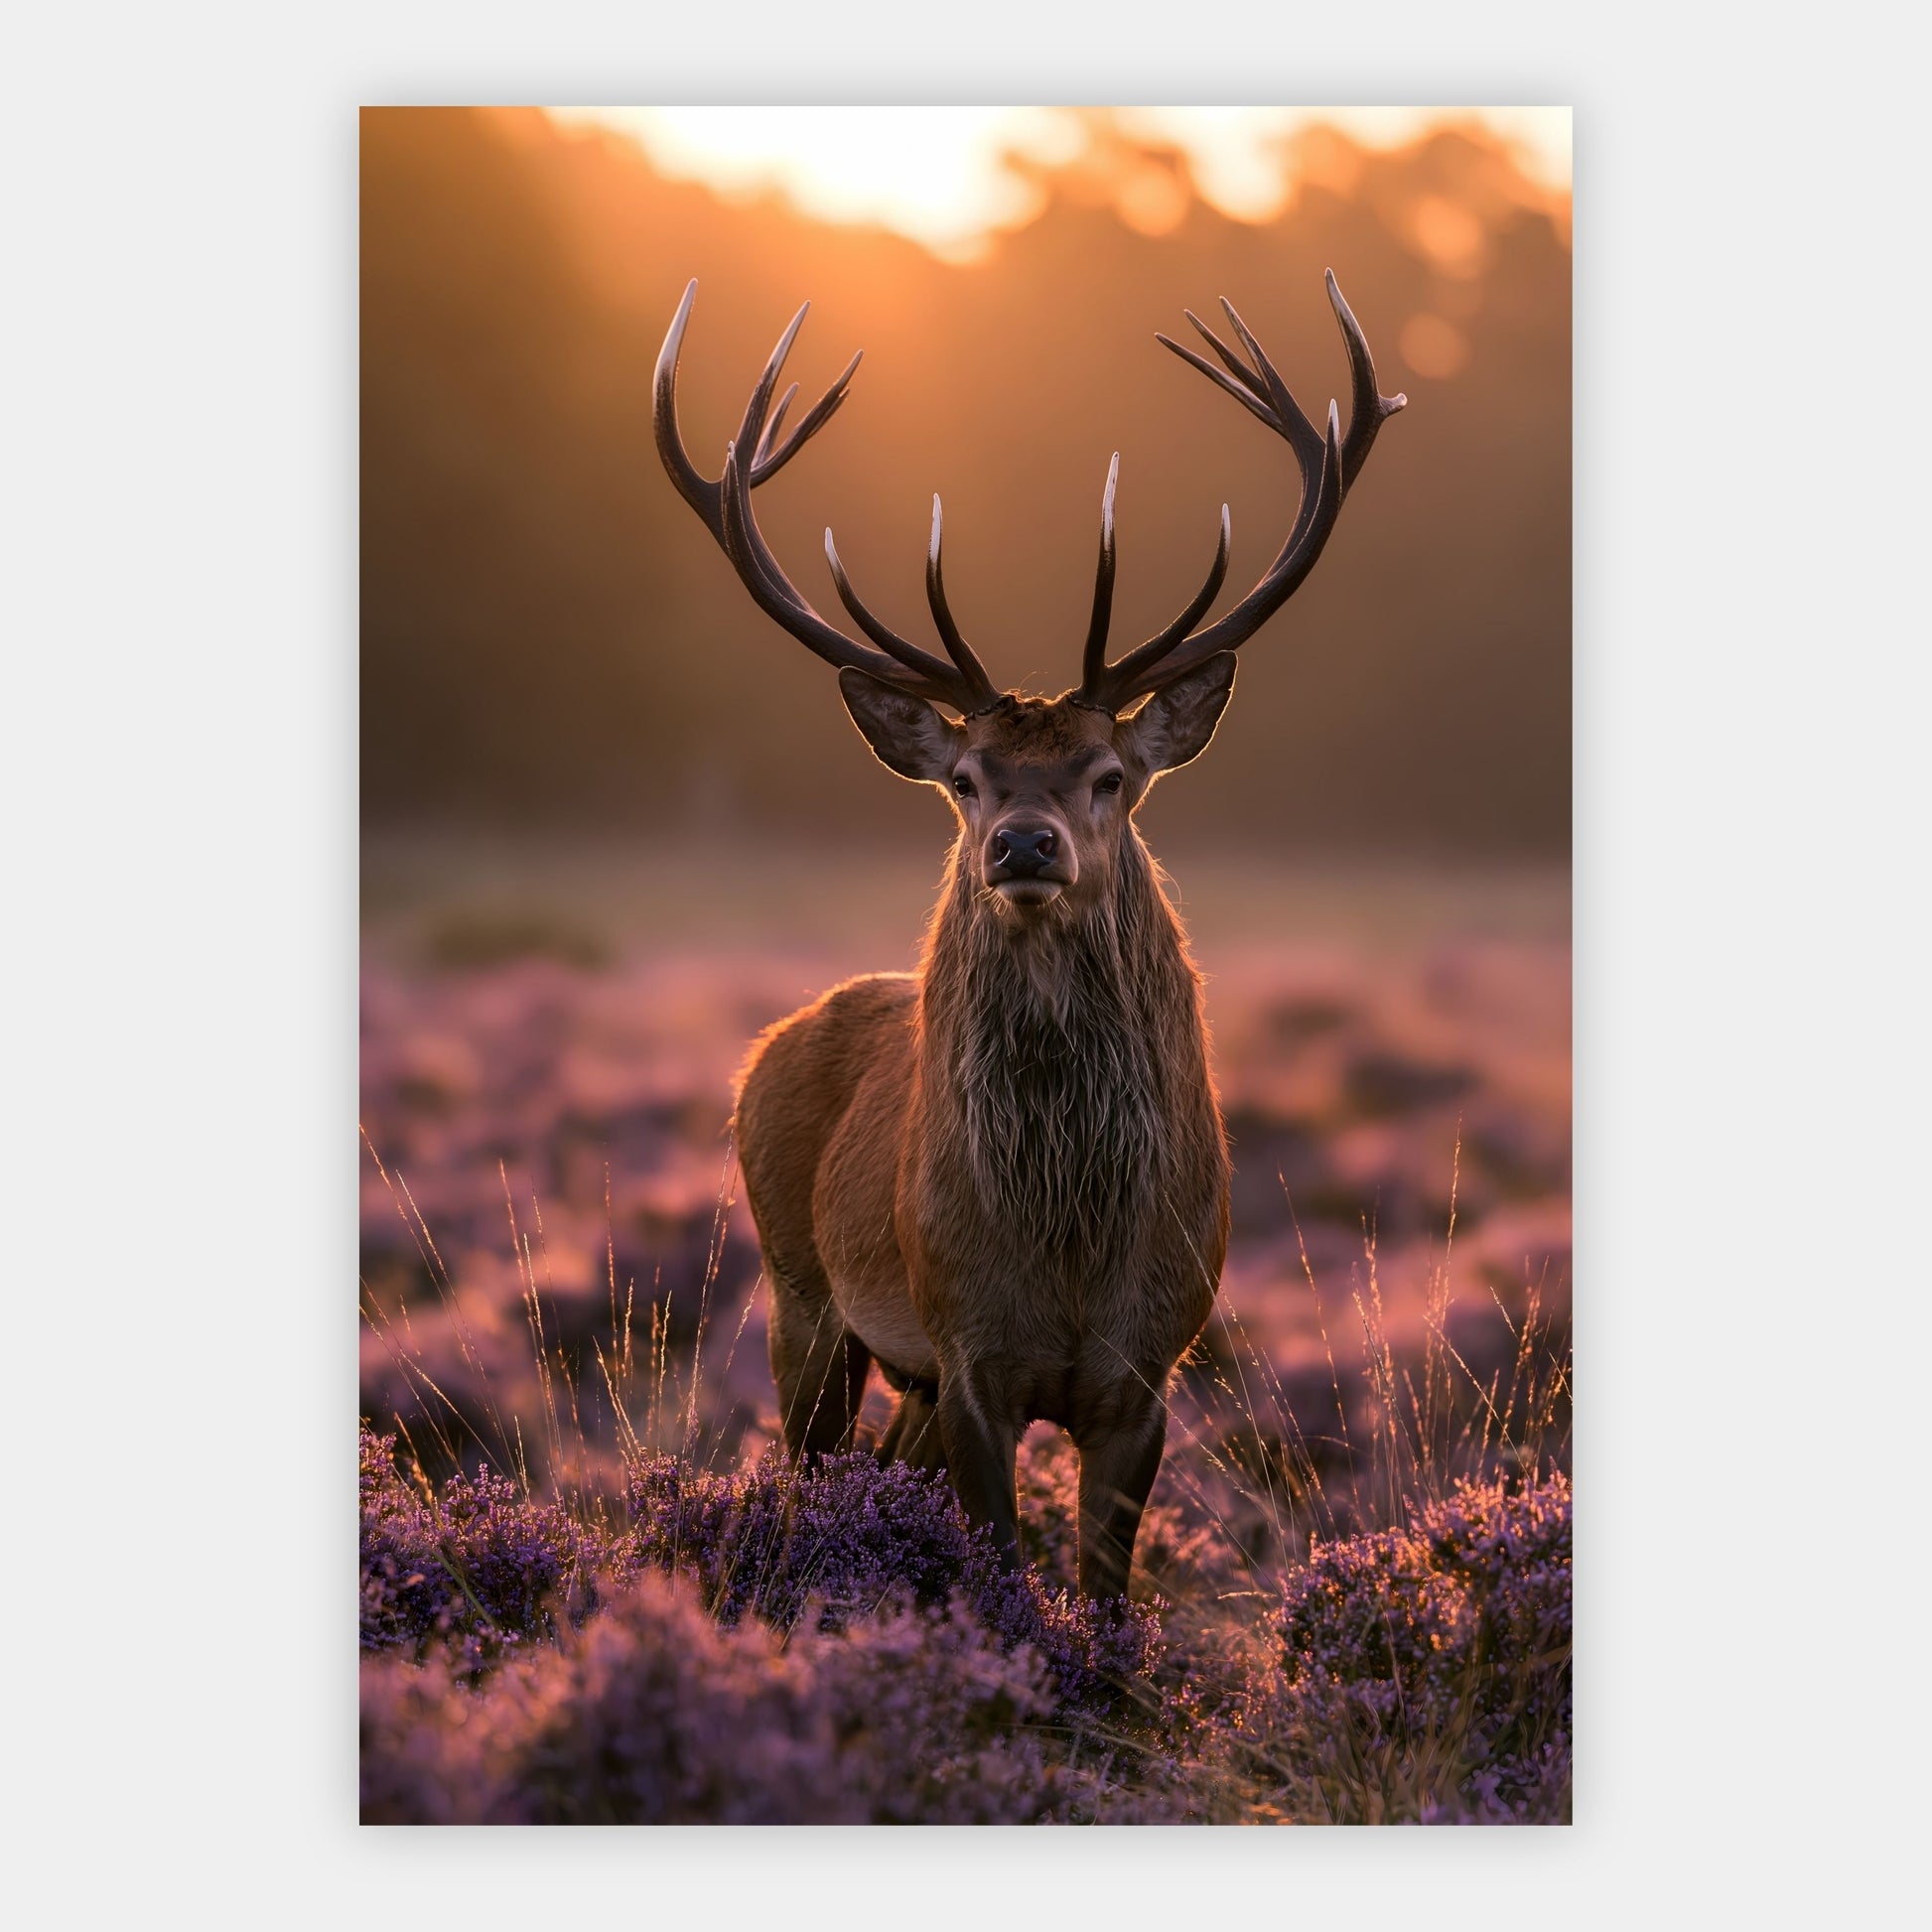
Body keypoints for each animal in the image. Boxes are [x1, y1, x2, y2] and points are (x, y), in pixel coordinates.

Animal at [652, 270, 1404, 1598]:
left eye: (1108, 775)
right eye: (965, 779)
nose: (1021, 844)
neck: (1065, 1244)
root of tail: (766, 1048)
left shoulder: (1147, 1370)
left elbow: (1103, 1594)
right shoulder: (966, 1359)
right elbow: (998, 1562)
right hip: (802, 1292)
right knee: (807, 1468)